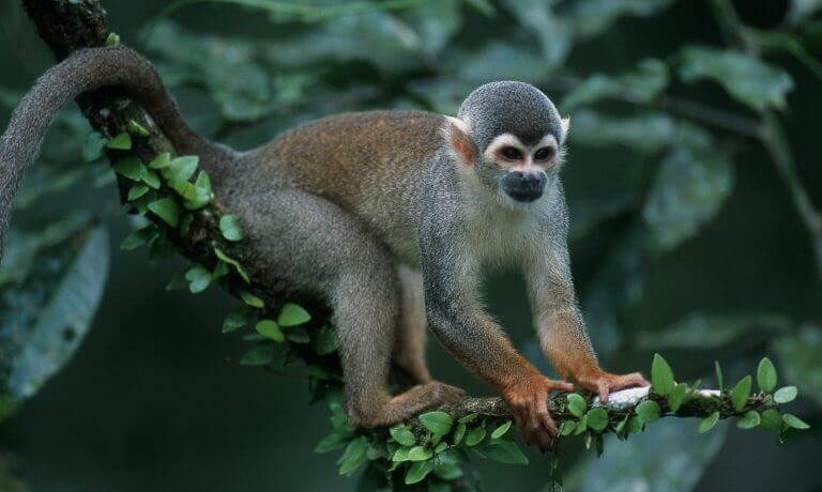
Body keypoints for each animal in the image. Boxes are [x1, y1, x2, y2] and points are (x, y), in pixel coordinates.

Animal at [0, 46, 649, 450]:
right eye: (510, 155)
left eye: (543, 155)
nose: (530, 178)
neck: (490, 193)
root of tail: (249, 164)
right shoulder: (441, 207)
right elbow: (447, 307)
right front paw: (529, 387)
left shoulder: (554, 208)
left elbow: (553, 303)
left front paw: (597, 378)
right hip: (271, 220)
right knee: (363, 263)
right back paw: (374, 408)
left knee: (395, 266)